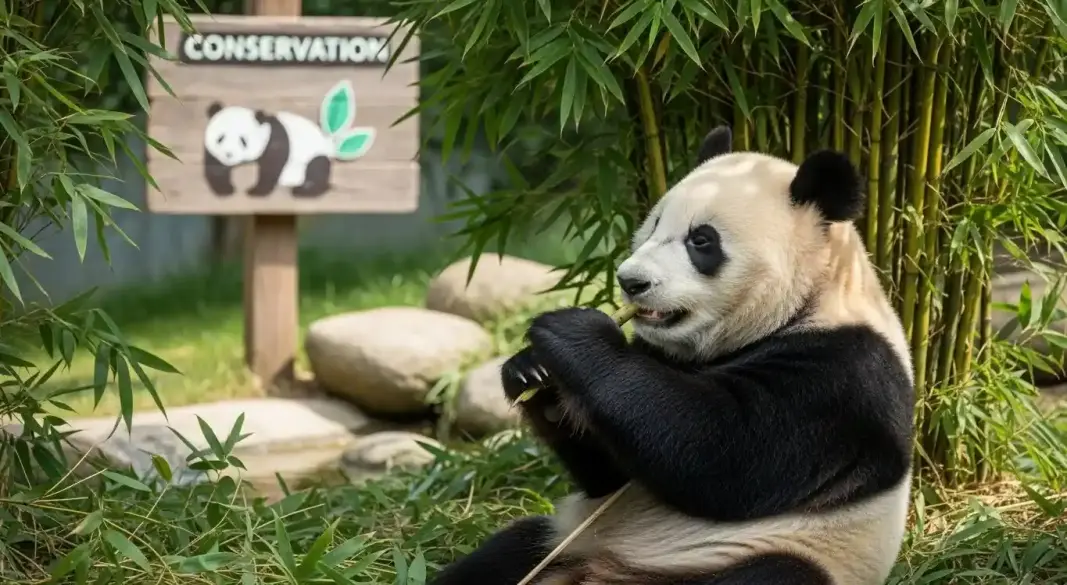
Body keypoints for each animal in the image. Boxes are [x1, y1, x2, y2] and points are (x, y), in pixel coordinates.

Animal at [202, 102, 333, 198]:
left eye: (243, 141)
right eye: (220, 138)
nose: (229, 154)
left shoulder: (274, 139)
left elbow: (271, 167)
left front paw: (256, 191)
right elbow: (216, 167)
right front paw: (225, 190)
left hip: (314, 154)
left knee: (317, 167)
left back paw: (303, 190)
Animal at [428, 126, 916, 585]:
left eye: (701, 240)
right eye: (654, 224)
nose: (631, 282)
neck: (806, 302)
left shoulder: (841, 373)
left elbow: (720, 453)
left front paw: (575, 335)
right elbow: (610, 470)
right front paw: (531, 372)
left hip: (780, 556)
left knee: (775, 574)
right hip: (560, 543)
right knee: (506, 551)